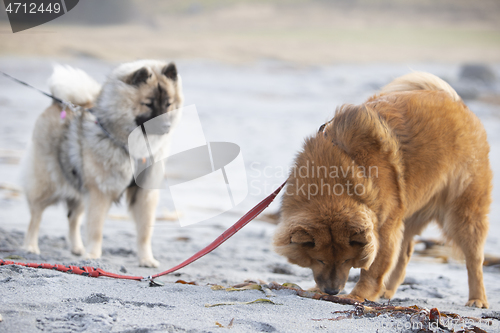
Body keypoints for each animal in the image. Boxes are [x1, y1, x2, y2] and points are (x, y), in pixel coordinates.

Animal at [22, 59, 184, 266]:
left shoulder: (144, 194)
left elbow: (144, 232)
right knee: (36, 215)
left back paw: (77, 248)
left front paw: (146, 259)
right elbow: (96, 227)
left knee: (73, 218)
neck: (132, 147)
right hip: (47, 184)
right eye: (148, 104)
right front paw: (93, 255)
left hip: (80, 187)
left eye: (168, 104)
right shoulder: (100, 192)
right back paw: (31, 246)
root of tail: (58, 103)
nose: (166, 126)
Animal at [272, 73, 490, 308]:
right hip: (408, 211)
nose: (332, 291)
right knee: (405, 253)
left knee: (474, 260)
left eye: (347, 259)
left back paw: (477, 298)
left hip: (462, 214)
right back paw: (388, 290)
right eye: (319, 259)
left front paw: (358, 296)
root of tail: (458, 103)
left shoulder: (384, 227)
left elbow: (374, 268)